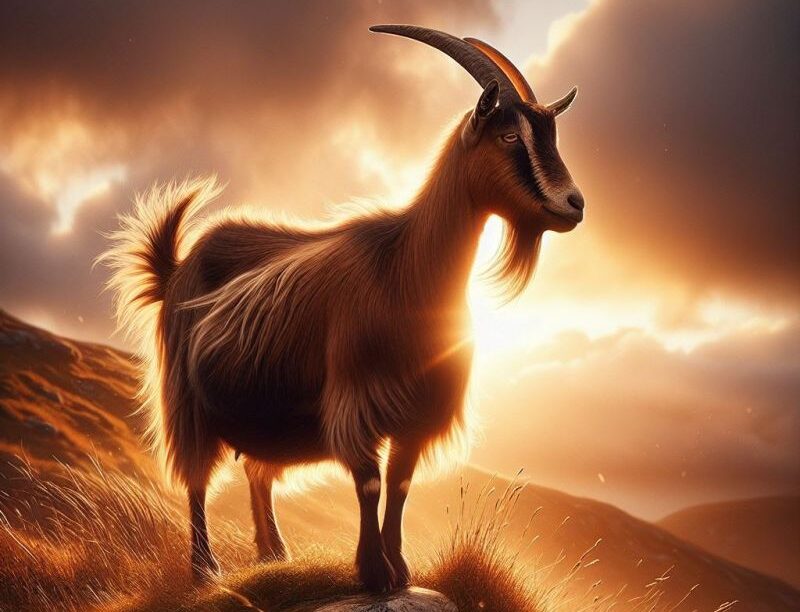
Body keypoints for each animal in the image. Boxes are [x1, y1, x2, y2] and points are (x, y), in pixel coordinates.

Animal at [101, 25, 584, 592]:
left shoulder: (415, 413)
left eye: (551, 135)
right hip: (186, 399)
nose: (574, 204)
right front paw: (374, 573)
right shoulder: (356, 399)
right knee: (196, 478)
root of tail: (175, 267)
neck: (406, 270)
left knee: (257, 472)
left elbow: (400, 485)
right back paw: (205, 570)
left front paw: (400, 570)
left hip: (267, 413)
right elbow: (370, 483)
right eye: (509, 137)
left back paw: (274, 553)